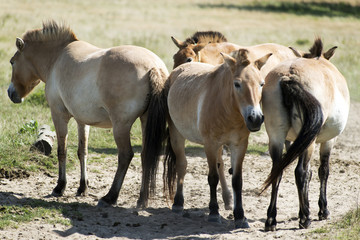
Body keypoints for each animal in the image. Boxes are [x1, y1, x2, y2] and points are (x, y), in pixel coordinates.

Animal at [7, 20, 169, 208]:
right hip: (145, 121)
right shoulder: (82, 120)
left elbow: (62, 150)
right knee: (145, 156)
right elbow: (82, 151)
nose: (10, 93)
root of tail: (153, 66)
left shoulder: (58, 115)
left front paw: (60, 187)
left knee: (125, 155)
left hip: (121, 126)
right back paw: (142, 199)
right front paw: (82, 187)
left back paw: (110, 196)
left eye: (12, 62)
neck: (56, 57)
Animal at [145, 47, 272, 228]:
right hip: (177, 135)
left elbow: (237, 180)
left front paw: (240, 216)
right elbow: (212, 178)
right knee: (182, 165)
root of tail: (176, 71)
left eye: (262, 84)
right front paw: (213, 213)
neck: (227, 107)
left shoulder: (239, 145)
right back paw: (178, 203)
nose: (255, 118)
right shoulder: (210, 145)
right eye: (237, 84)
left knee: (220, 166)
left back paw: (227, 200)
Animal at [260, 38, 350, 232]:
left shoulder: (292, 141)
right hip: (310, 142)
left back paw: (271, 219)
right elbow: (322, 171)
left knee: (277, 171)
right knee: (300, 172)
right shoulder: (328, 141)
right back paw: (305, 218)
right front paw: (322, 210)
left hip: (276, 137)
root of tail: (289, 76)